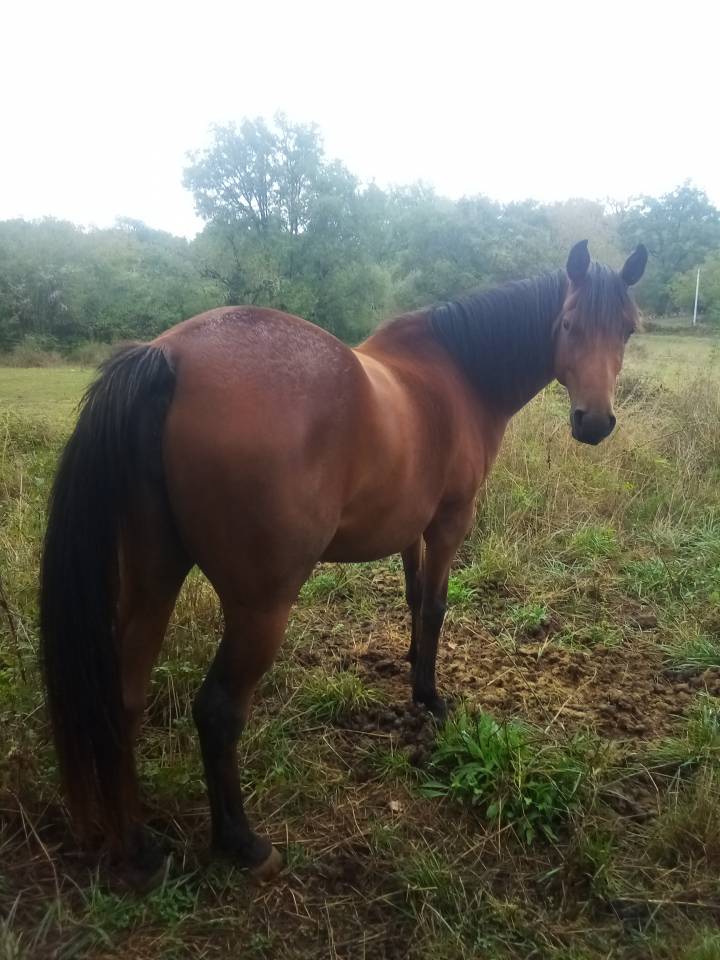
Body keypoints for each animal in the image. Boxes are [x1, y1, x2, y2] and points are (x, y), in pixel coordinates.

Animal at [40, 240, 647, 883]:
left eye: (628, 329)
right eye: (568, 323)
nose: (594, 421)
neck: (456, 376)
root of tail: (171, 356)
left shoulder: (409, 528)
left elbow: (413, 598)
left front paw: (413, 669)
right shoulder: (450, 520)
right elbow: (435, 606)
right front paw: (430, 697)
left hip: (153, 575)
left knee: (124, 698)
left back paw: (138, 847)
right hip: (260, 606)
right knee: (219, 710)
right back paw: (242, 842)